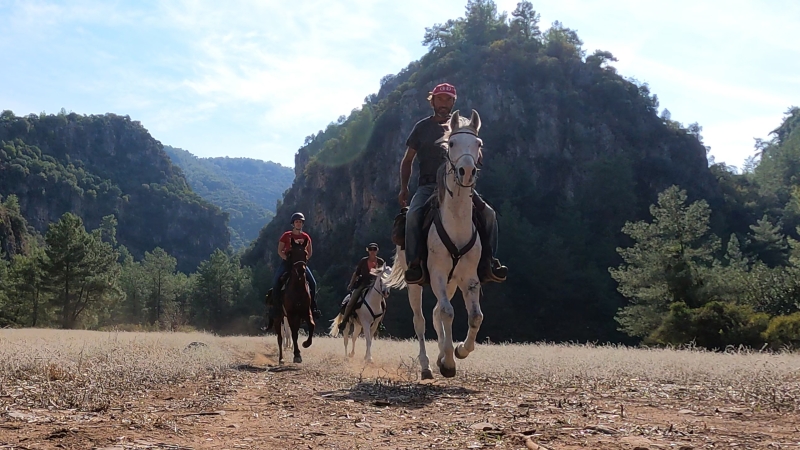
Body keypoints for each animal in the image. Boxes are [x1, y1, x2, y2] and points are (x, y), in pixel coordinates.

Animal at [386, 110, 484, 380]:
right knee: (420, 319)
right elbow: (448, 313)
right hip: (416, 283)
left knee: (436, 312)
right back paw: (427, 365)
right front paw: (449, 362)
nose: (466, 171)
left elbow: (475, 316)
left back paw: (440, 354)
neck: (456, 224)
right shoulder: (438, 273)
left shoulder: (469, 277)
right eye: (451, 143)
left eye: (478, 144)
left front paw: (459, 350)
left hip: (450, 283)